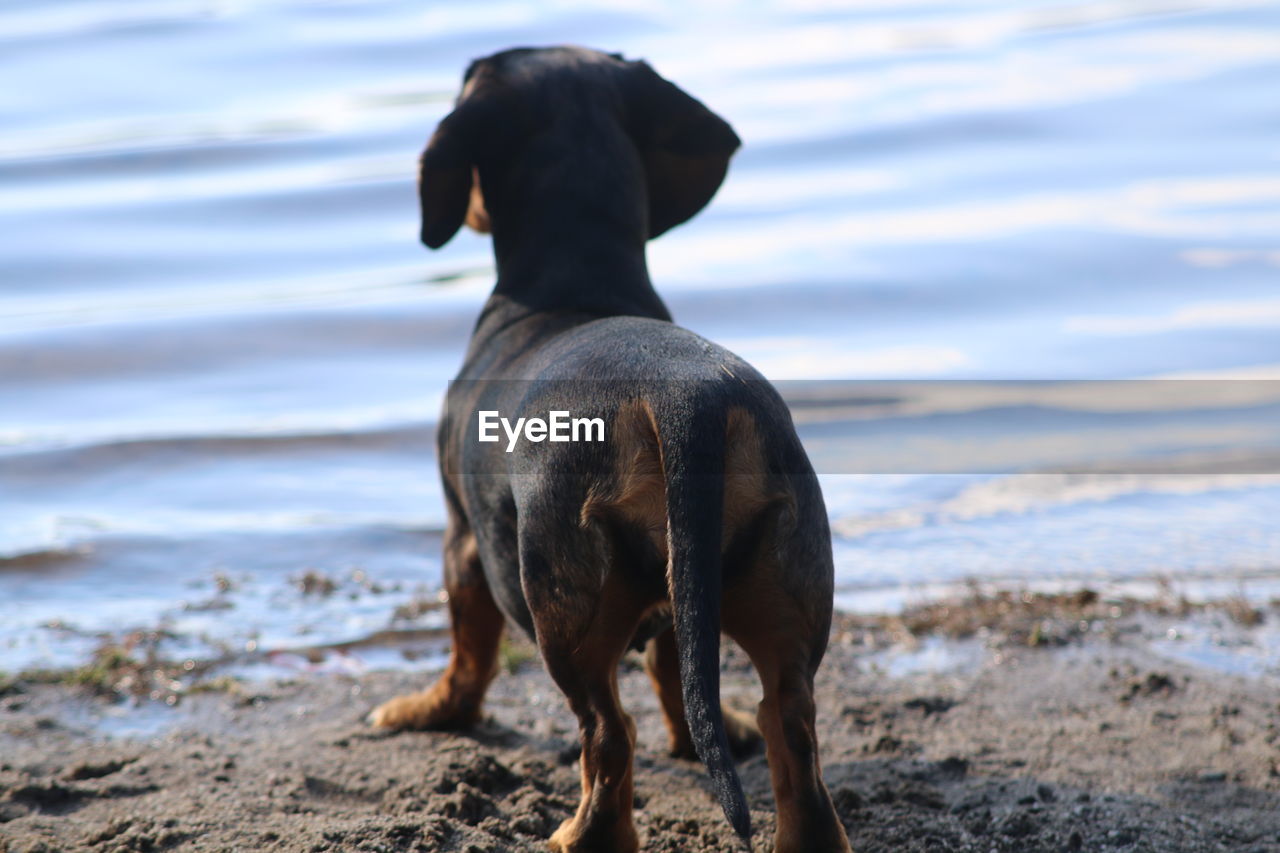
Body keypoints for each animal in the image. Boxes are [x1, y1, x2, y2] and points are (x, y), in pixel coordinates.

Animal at [371, 48, 849, 850]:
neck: (574, 285)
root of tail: (683, 398)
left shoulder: (462, 538)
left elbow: (468, 651)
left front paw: (433, 711)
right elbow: (675, 674)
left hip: (566, 605)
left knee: (607, 732)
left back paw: (581, 835)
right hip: (786, 589)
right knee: (792, 731)